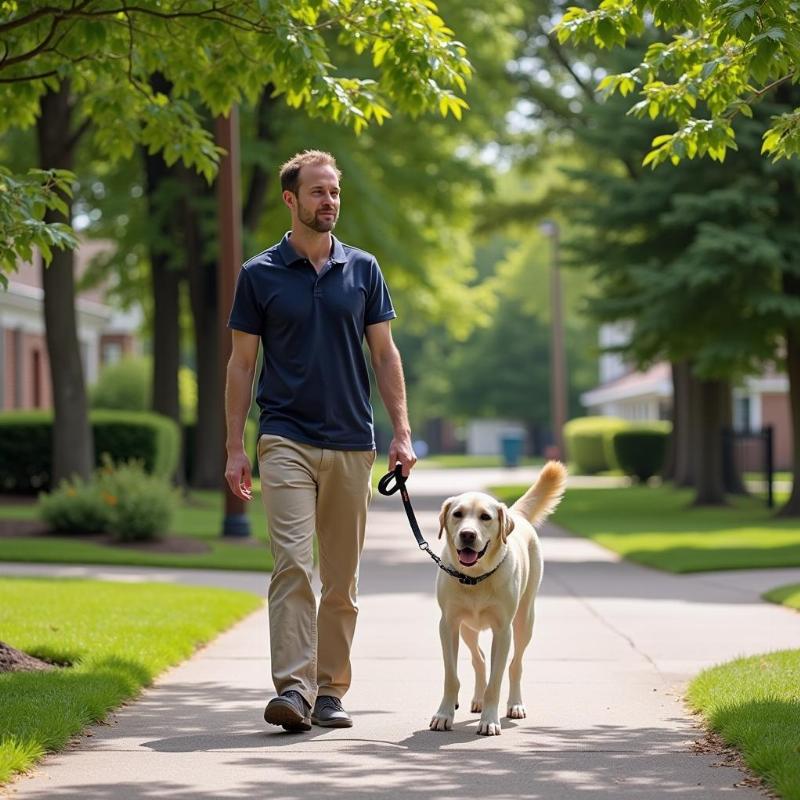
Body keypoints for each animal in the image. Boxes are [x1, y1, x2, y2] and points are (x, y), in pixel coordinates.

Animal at [428, 460, 564, 736]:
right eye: (457, 514)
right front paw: (444, 714)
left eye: (485, 517)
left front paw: (490, 720)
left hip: (524, 621)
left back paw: (515, 704)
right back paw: (478, 700)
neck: (474, 577)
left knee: (515, 665)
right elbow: (451, 675)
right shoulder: (448, 625)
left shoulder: (503, 631)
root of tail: (514, 514)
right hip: (467, 628)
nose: (468, 534)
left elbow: (496, 679)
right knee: (478, 659)